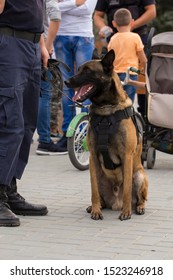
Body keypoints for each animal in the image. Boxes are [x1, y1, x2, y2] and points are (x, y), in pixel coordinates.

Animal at [65, 49, 149, 221]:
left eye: (87, 71)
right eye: (79, 69)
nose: (66, 81)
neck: (106, 110)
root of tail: (115, 203)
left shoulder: (127, 156)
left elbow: (127, 190)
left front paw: (126, 212)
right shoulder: (93, 157)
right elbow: (94, 191)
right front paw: (96, 210)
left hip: (139, 175)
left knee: (140, 198)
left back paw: (137, 207)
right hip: (99, 175)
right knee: (99, 193)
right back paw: (95, 207)